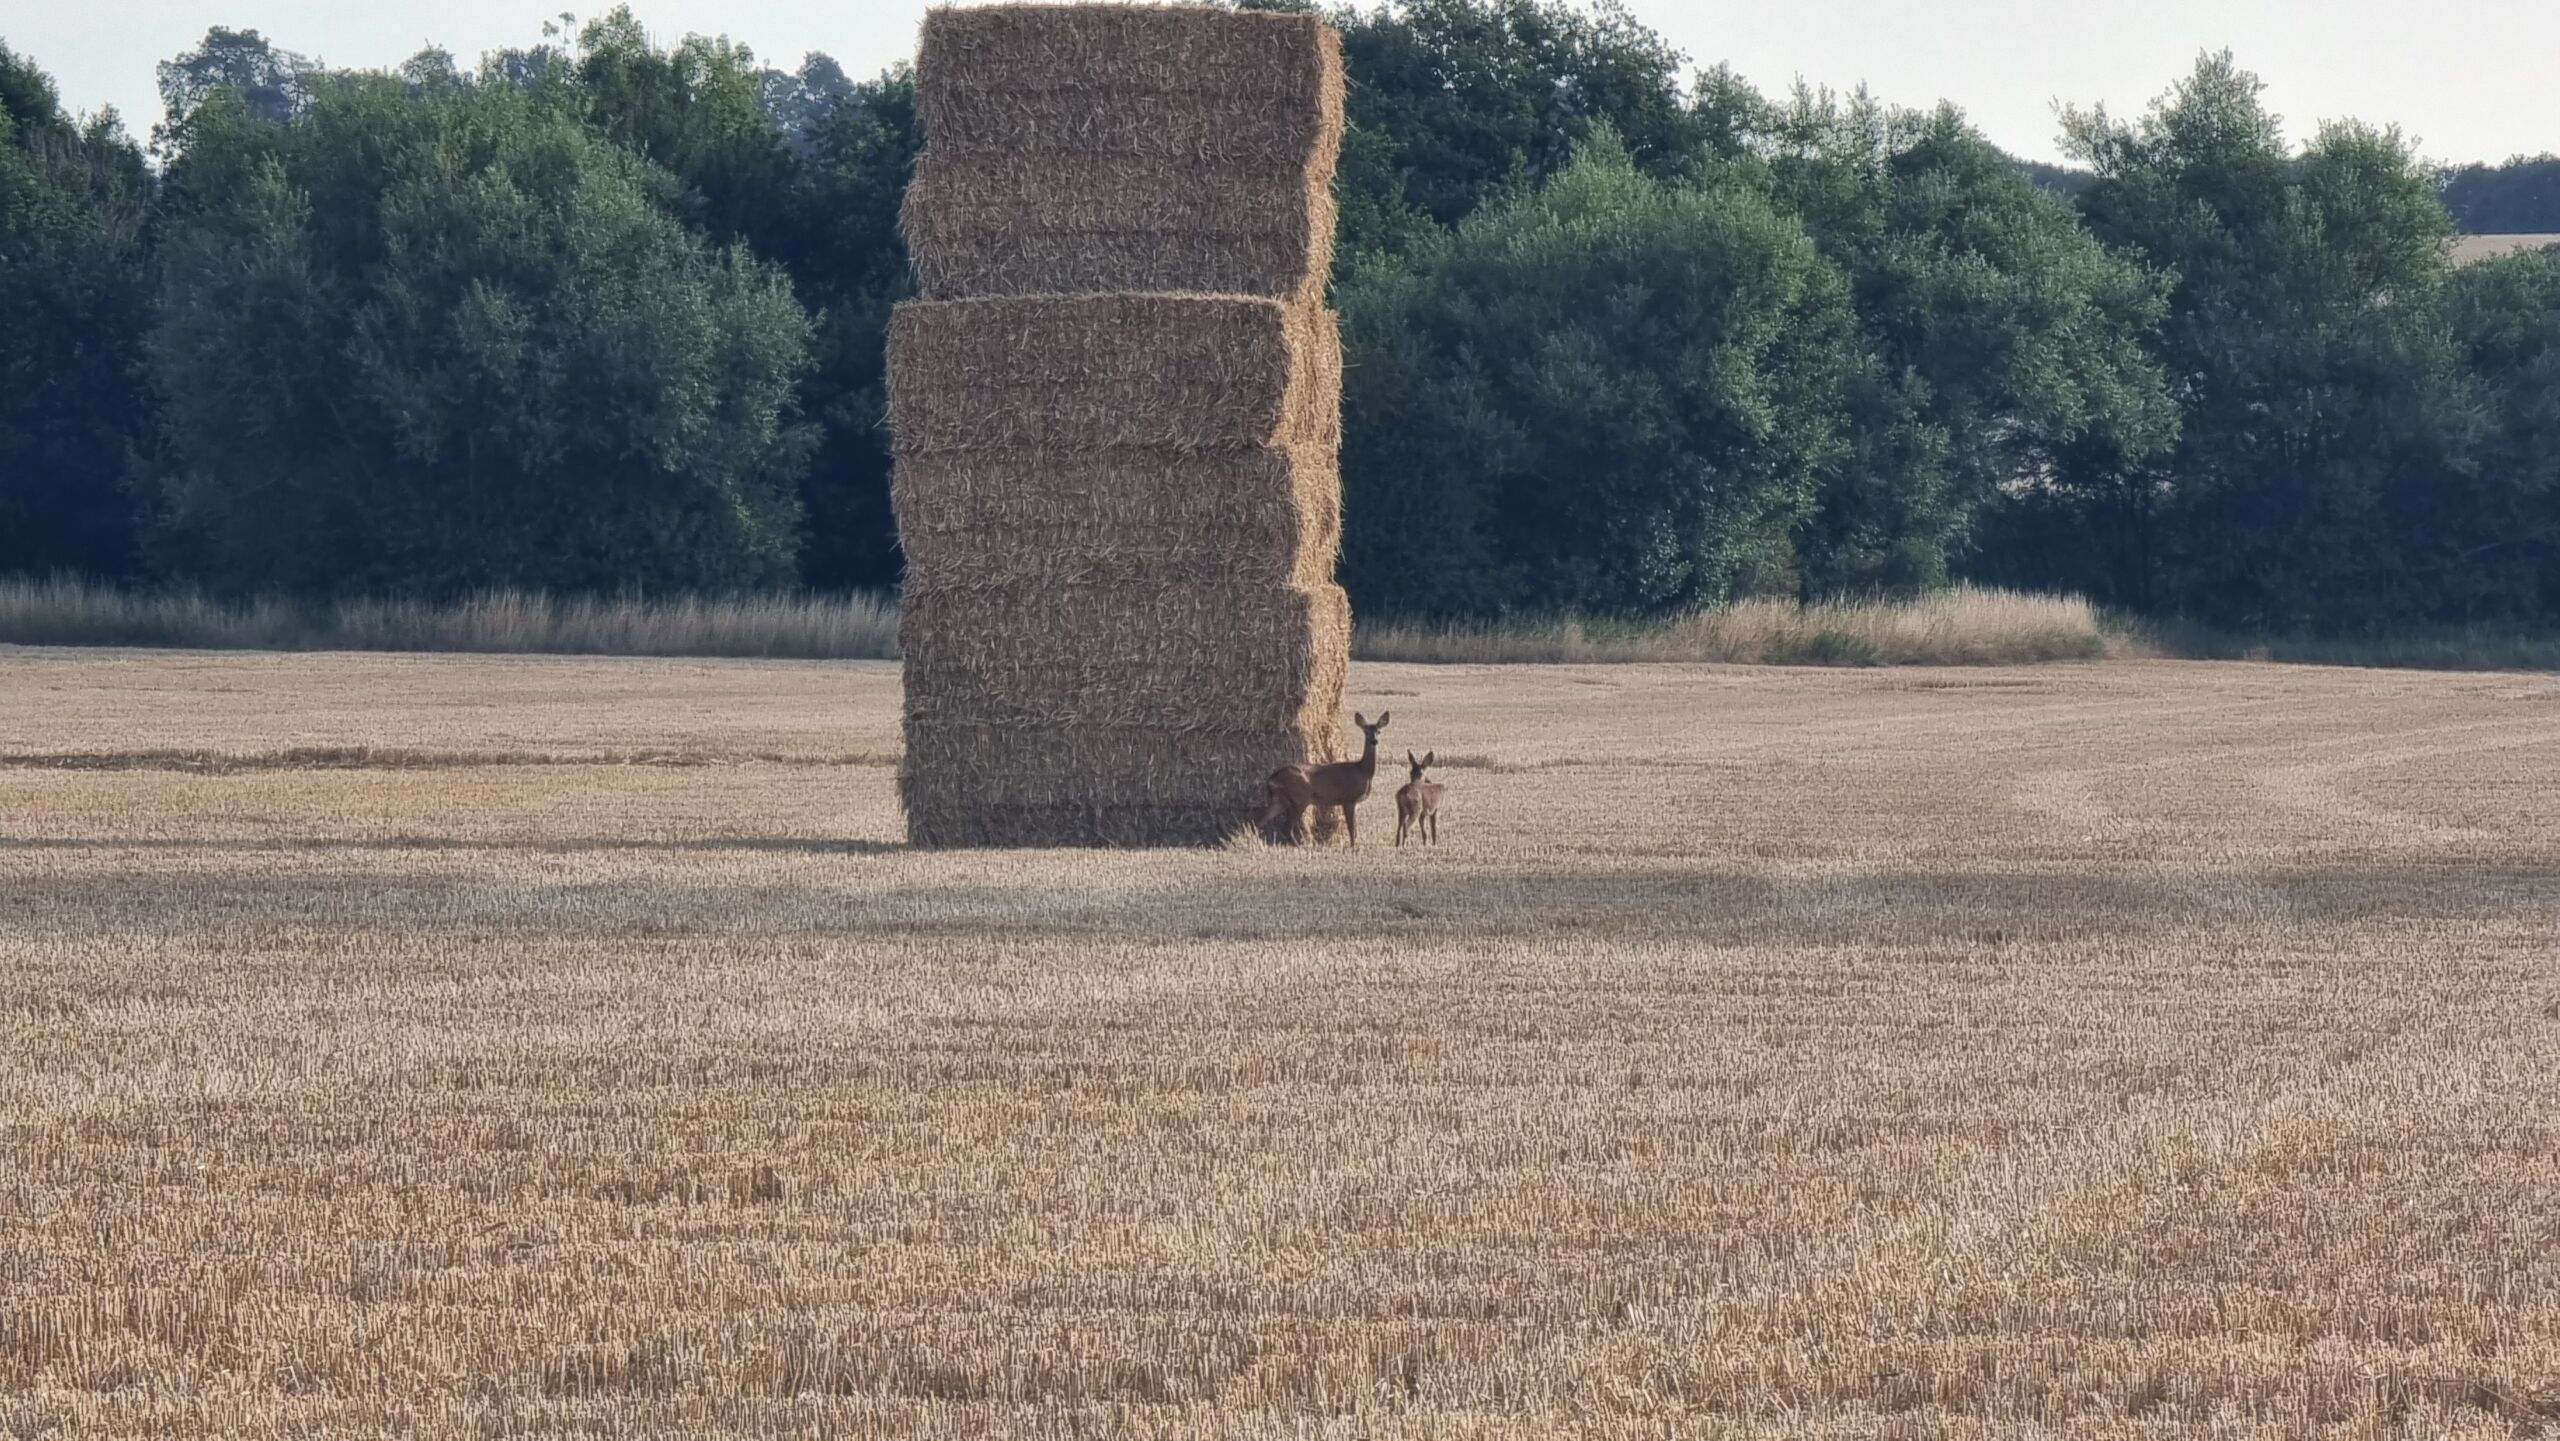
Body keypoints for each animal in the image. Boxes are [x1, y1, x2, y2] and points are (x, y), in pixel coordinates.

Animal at [1259, 711, 1389, 848]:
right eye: (1366, 732)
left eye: (1379, 731)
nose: (1374, 741)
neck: (1363, 771)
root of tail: (1272, 778)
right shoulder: (1348, 798)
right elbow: (1352, 828)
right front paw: (1353, 847)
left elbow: (1355, 828)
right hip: (1300, 798)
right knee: (1286, 827)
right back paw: (1300, 846)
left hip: (1280, 799)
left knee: (1261, 820)